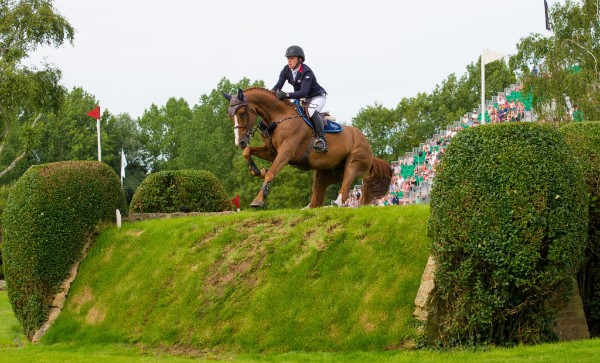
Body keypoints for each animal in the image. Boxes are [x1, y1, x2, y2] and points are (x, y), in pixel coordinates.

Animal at [223, 86, 392, 209]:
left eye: (242, 113)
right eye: (230, 115)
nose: (240, 142)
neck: (279, 117)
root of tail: (369, 148)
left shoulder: (286, 153)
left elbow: (272, 173)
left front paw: (258, 200)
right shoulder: (272, 152)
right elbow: (248, 152)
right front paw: (257, 171)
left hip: (354, 163)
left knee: (344, 190)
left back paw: (336, 204)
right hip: (325, 173)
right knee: (316, 200)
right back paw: (308, 208)